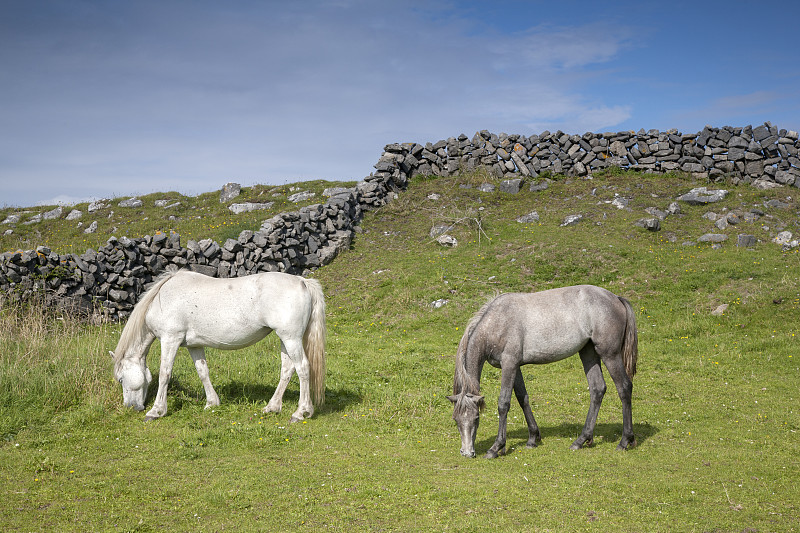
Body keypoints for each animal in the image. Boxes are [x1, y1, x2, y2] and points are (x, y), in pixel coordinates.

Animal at [111, 272, 326, 422]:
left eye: (121, 379)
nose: (131, 407)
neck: (162, 299)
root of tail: (302, 281)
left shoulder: (169, 339)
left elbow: (165, 373)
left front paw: (156, 411)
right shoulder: (194, 345)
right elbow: (202, 371)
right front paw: (211, 403)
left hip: (291, 339)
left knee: (303, 368)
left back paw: (301, 412)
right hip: (285, 340)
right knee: (287, 370)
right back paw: (272, 407)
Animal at [446, 286, 640, 458]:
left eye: (476, 418)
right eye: (456, 420)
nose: (467, 453)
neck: (497, 322)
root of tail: (616, 298)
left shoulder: (509, 364)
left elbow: (503, 403)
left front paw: (496, 447)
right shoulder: (515, 367)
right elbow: (522, 398)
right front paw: (533, 438)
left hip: (609, 355)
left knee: (624, 388)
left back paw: (625, 440)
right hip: (588, 352)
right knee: (597, 389)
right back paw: (581, 440)